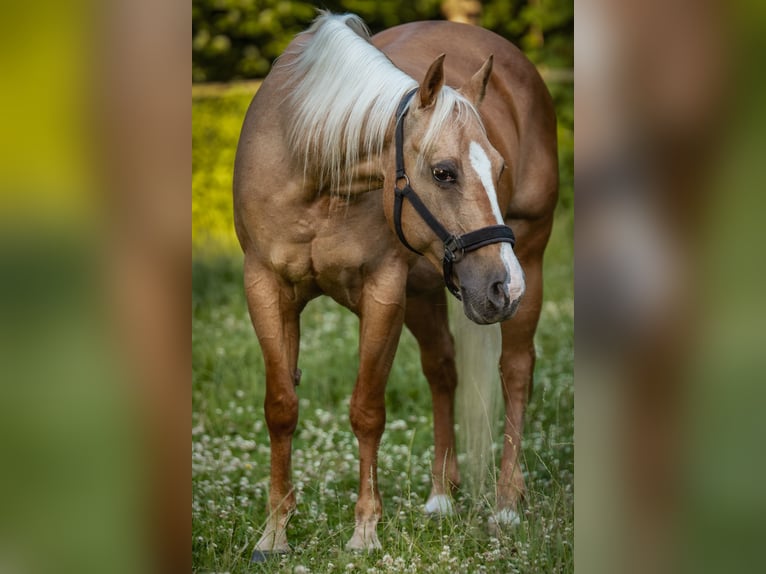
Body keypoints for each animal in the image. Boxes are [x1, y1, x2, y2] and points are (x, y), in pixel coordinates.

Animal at [233, 12, 558, 559]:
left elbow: (367, 410)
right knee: (442, 369)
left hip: (528, 256)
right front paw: (274, 532)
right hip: (427, 291)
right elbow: (281, 407)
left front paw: (364, 531)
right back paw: (441, 495)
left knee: (515, 371)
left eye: (500, 168)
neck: (312, 164)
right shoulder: (266, 287)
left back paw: (506, 504)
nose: (504, 286)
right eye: (444, 172)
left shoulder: (382, 292)